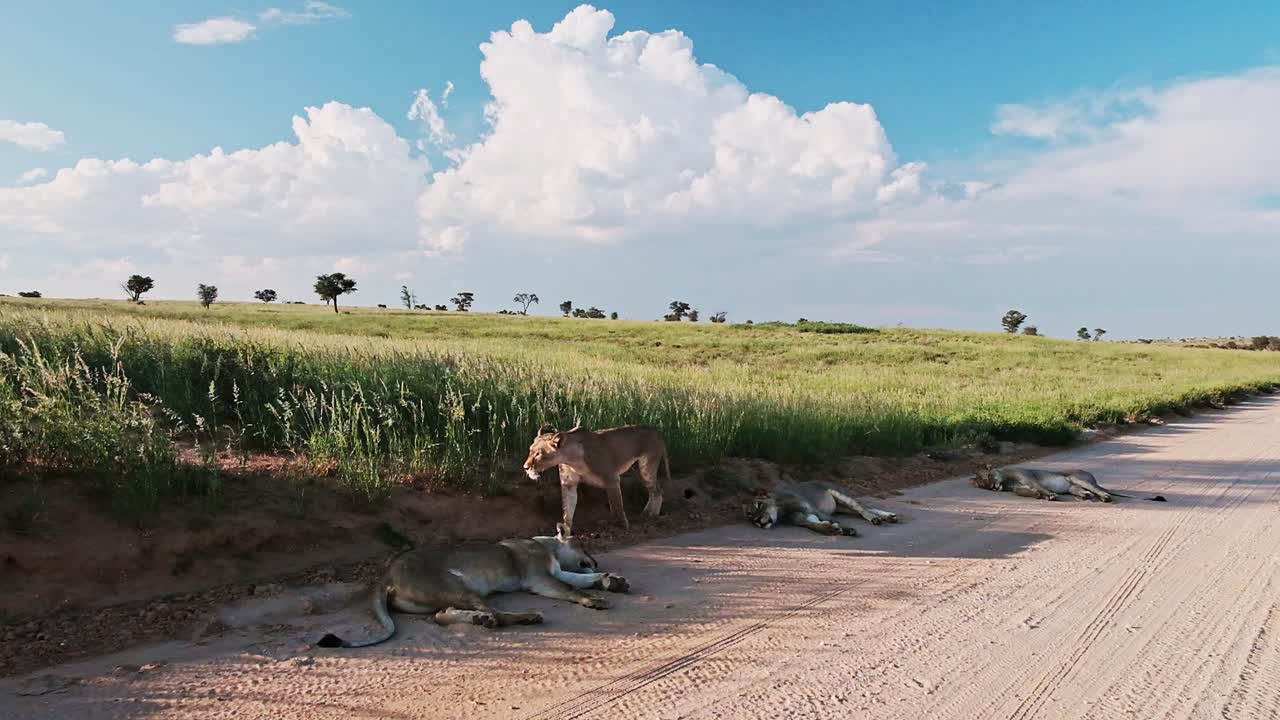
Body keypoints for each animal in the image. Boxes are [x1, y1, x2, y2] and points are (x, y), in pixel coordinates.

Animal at [316, 524, 629, 649]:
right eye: (582, 543)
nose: (596, 560)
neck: (547, 545)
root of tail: (385, 575)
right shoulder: (537, 578)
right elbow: (572, 589)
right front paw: (596, 598)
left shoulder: (556, 572)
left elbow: (580, 580)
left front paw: (612, 580)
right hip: (456, 584)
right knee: (496, 614)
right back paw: (526, 616)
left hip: (443, 596)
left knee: (440, 616)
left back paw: (479, 619)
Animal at [523, 423, 670, 534]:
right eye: (530, 451)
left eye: (538, 454)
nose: (525, 467)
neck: (572, 460)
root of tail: (656, 431)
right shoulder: (568, 484)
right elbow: (567, 510)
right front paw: (565, 531)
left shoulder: (611, 478)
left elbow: (616, 506)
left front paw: (624, 527)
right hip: (637, 470)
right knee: (653, 490)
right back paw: (645, 513)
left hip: (646, 467)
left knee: (658, 490)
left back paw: (652, 515)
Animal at [745, 480, 899, 536]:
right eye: (749, 516)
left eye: (759, 505)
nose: (757, 521)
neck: (781, 511)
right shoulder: (802, 518)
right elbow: (814, 526)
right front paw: (831, 529)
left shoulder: (813, 510)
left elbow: (832, 520)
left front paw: (845, 529)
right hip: (842, 507)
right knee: (863, 510)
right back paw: (888, 517)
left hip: (842, 496)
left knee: (863, 509)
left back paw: (877, 518)